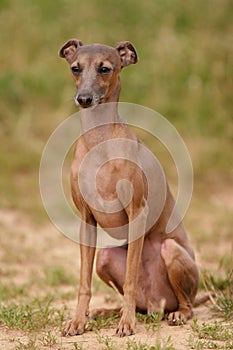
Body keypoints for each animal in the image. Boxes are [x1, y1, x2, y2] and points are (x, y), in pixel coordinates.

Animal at [58, 39, 198, 338]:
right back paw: (107, 312)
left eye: (105, 68)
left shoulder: (137, 213)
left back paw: (173, 314)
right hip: (105, 257)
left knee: (186, 304)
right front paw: (77, 321)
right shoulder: (87, 220)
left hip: (172, 251)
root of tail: (157, 305)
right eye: (75, 68)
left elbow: (132, 280)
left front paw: (127, 324)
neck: (99, 139)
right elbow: (83, 282)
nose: (84, 98)